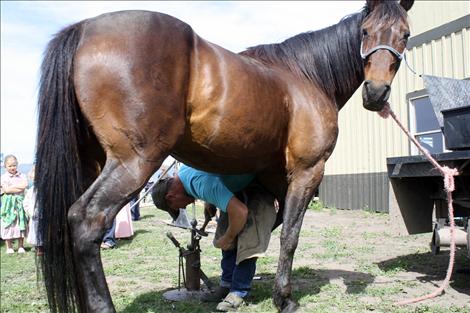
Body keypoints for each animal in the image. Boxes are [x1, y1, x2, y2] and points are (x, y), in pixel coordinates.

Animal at [35, 1, 414, 310]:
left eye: (405, 35)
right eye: (364, 32)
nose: (376, 93)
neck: (305, 77)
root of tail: (83, 30)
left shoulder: (270, 178)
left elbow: (260, 229)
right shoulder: (308, 171)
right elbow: (289, 235)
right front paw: (284, 298)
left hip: (92, 163)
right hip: (133, 162)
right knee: (87, 220)